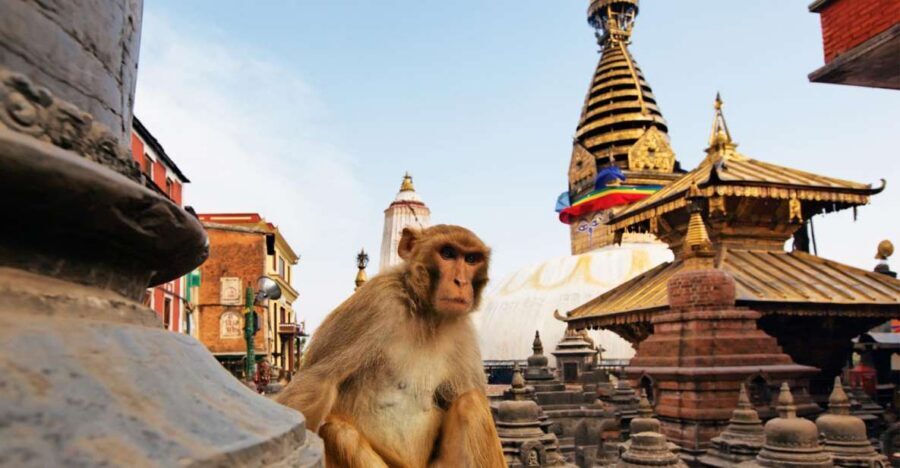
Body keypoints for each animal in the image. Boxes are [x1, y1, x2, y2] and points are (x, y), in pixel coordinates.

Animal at [276, 224, 505, 468]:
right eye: (447, 254)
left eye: (471, 259)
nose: (461, 282)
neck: (426, 315)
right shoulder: (377, 301)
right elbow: (316, 383)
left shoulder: (463, 332)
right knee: (338, 431)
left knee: (471, 403)